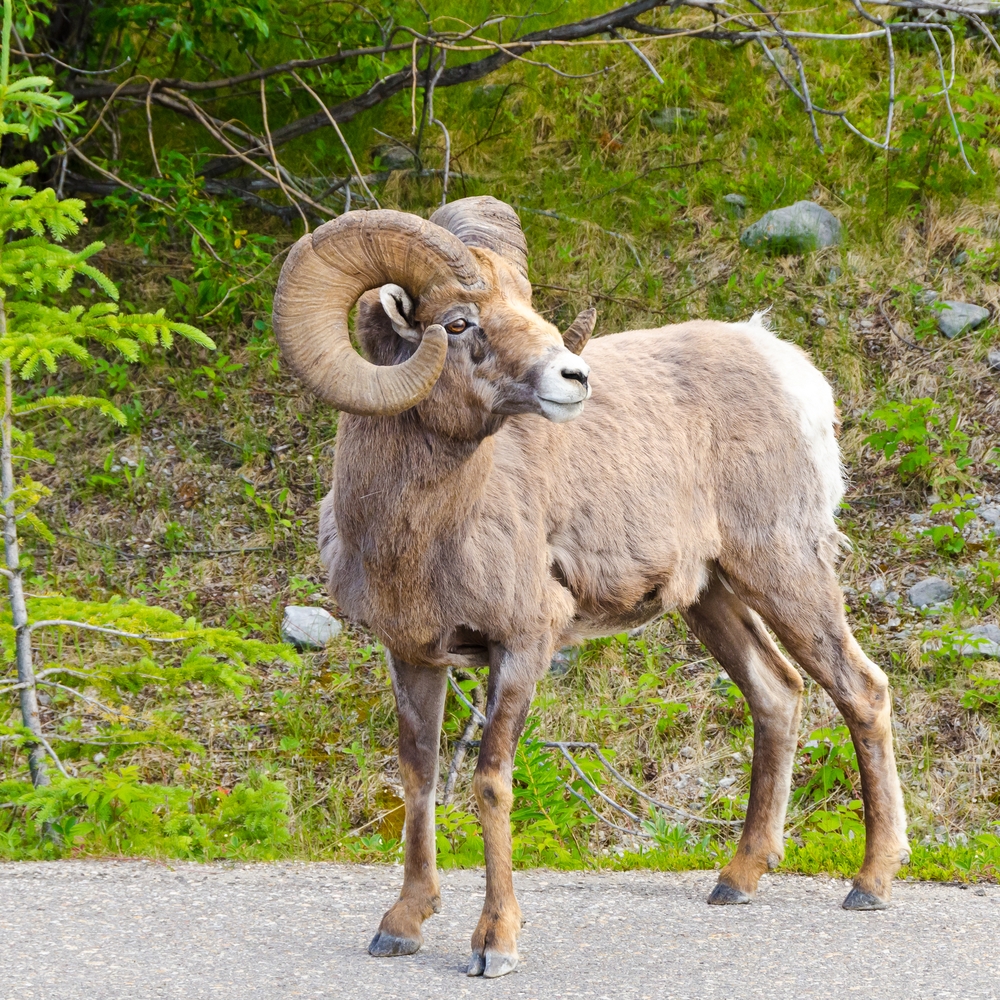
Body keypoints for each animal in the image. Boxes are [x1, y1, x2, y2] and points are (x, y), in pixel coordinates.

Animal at [272, 196, 909, 979]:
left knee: (861, 690)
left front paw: (495, 944)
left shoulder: (522, 646)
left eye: (526, 304)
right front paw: (401, 926)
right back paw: (736, 879)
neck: (420, 533)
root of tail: (787, 366)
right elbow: (419, 779)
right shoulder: (413, 655)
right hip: (713, 596)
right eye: (457, 323)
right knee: (777, 694)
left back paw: (870, 884)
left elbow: (490, 782)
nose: (573, 378)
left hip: (784, 569)